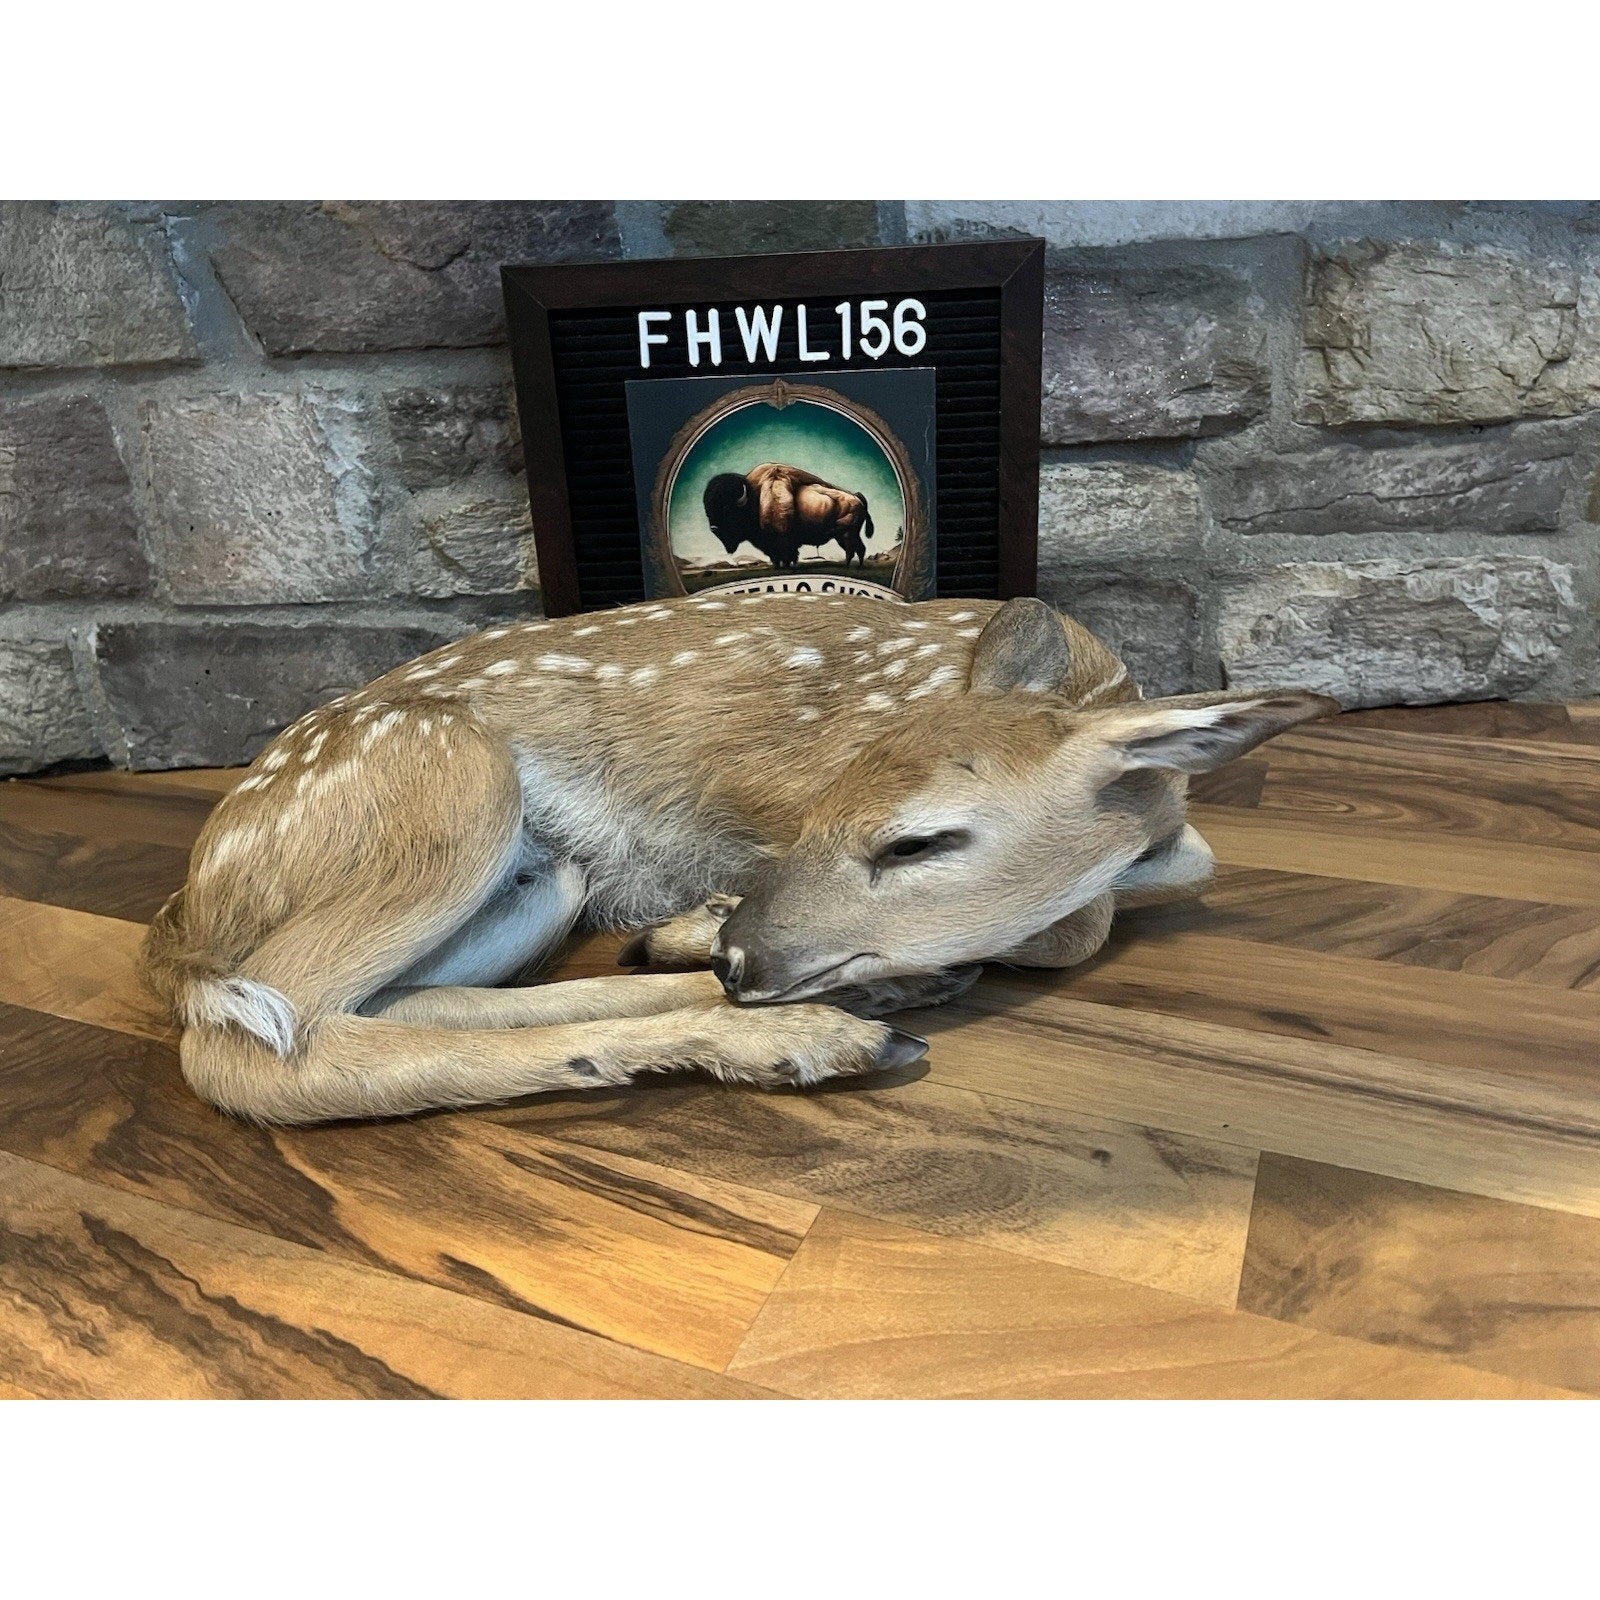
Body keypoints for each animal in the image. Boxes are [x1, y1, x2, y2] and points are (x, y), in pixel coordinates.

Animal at [141, 593, 1337, 1125]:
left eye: (917, 839)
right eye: (825, 804)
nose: (742, 959)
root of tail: (189, 910)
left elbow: (1154, 881)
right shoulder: (761, 796)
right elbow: (1079, 922)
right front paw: (706, 924)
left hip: (543, 879)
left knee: (394, 1009)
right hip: (447, 782)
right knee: (254, 1045)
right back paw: (807, 1037)